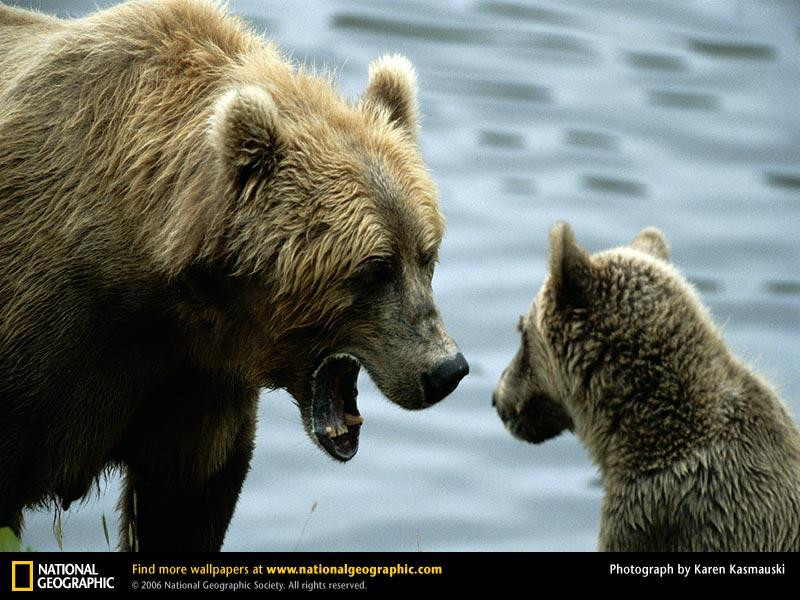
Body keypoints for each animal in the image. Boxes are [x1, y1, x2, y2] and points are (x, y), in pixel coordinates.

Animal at [1, 0, 468, 552]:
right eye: (375, 268)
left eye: (426, 254)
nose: (445, 370)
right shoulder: (50, 331)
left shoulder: (194, 380)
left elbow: (186, 503)